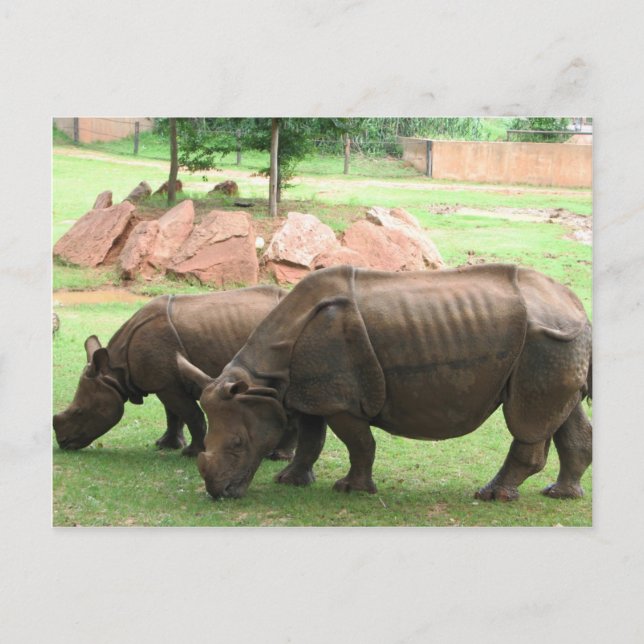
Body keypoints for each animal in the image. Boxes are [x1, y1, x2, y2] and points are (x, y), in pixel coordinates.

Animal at [53, 286, 297, 459]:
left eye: (80, 411)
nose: (63, 443)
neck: (114, 371)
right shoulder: (165, 381)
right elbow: (173, 415)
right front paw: (166, 445)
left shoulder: (167, 383)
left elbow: (191, 414)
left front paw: (191, 453)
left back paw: (277, 456)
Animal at [177, 264, 592, 501]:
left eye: (237, 444)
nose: (218, 493)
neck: (263, 380)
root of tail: (576, 304)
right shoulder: (311, 393)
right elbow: (311, 440)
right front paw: (290, 482)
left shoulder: (339, 399)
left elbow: (359, 443)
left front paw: (351, 490)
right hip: (558, 340)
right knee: (560, 413)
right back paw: (560, 495)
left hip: (545, 338)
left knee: (527, 418)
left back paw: (494, 496)